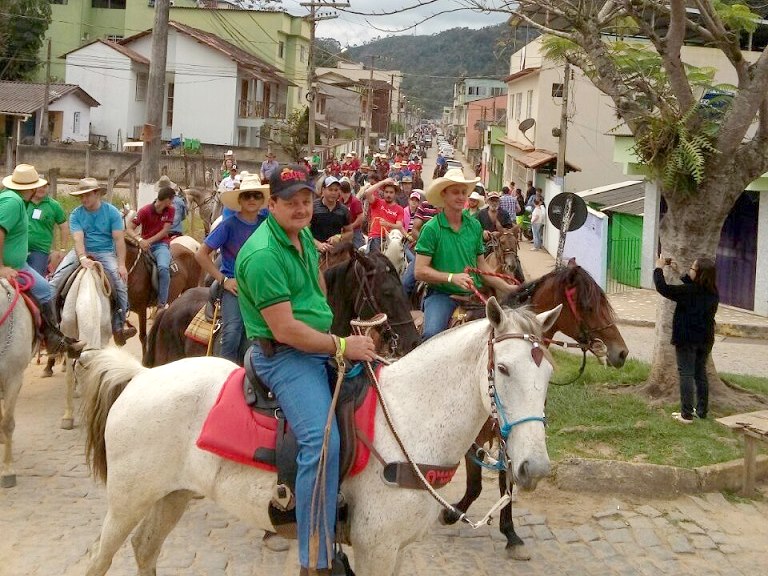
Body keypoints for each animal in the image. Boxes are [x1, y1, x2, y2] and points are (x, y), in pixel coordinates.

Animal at [79, 302, 560, 576]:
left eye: (548, 374)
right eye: (503, 369)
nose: (533, 468)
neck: (410, 417)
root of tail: (141, 377)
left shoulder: (398, 549)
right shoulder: (374, 549)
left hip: (172, 495)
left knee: (145, 549)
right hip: (127, 500)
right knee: (100, 557)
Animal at [438, 258, 632, 560]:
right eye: (588, 307)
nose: (621, 353)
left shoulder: (513, 431)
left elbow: (507, 480)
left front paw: (510, 533)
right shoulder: (475, 435)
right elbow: (475, 484)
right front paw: (451, 513)